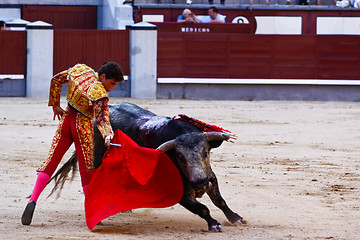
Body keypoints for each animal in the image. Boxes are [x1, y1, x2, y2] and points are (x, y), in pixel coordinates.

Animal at [50, 102, 243, 232]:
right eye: (180, 157)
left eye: (205, 152)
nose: (200, 185)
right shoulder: (179, 193)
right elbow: (202, 208)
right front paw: (215, 224)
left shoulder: (211, 177)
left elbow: (219, 200)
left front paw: (236, 218)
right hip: (96, 158)